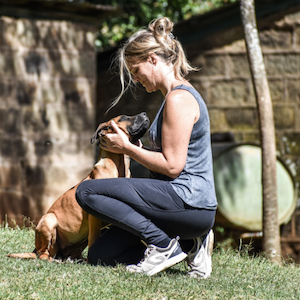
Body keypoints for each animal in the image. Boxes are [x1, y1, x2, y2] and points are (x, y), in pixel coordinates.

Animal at [7, 112, 150, 260]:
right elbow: (94, 238)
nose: (144, 113)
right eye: (123, 118)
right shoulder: (94, 218)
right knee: (43, 253)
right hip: (48, 220)